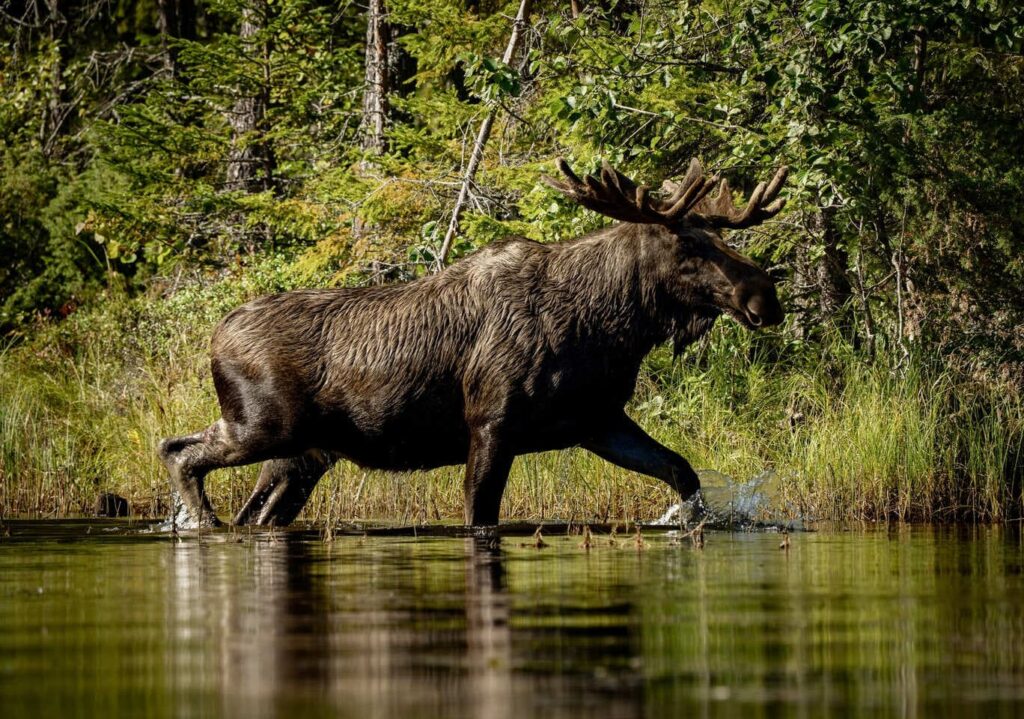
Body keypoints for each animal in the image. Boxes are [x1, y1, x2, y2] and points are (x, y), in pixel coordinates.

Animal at [157, 157, 788, 528]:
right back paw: (202, 525)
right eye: (685, 245)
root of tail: (215, 336)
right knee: (178, 452)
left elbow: (683, 472)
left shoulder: (596, 421)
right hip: (262, 426)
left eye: (716, 235)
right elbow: (480, 513)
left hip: (301, 456)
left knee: (253, 510)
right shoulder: (492, 419)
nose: (765, 295)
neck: (610, 326)